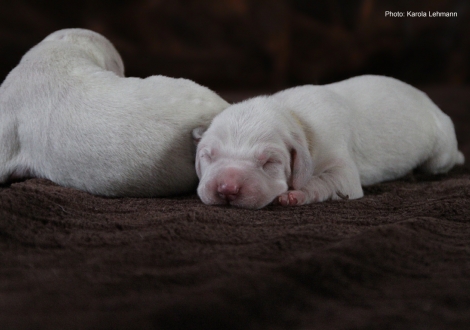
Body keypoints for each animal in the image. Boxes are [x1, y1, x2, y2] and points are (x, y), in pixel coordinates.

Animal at [193, 75, 464, 209]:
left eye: (269, 162)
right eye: (208, 156)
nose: (227, 188)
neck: (295, 118)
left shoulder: (342, 167)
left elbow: (328, 180)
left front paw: (295, 195)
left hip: (441, 150)